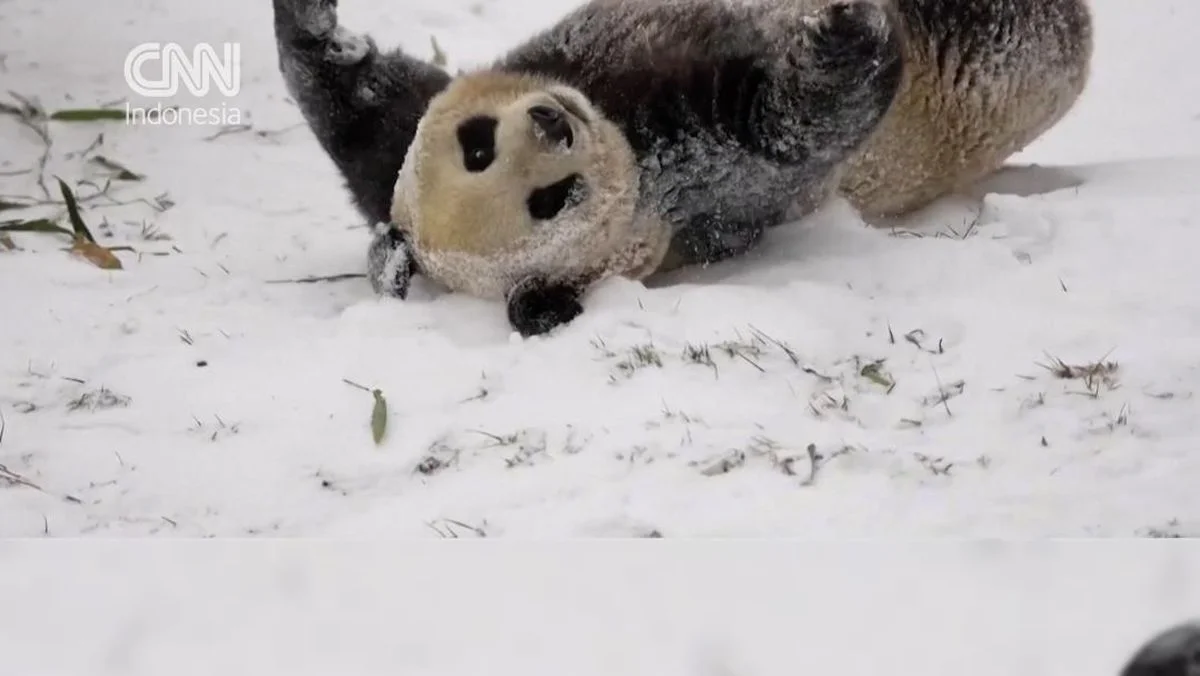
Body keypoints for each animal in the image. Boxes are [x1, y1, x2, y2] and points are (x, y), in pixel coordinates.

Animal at [272, 0, 1093, 337]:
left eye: (477, 145)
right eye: (550, 201)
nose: (552, 123)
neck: (617, 123)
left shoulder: (389, 154)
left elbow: (354, 96)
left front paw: (310, 19)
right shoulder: (699, 182)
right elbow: (789, 125)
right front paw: (845, 33)